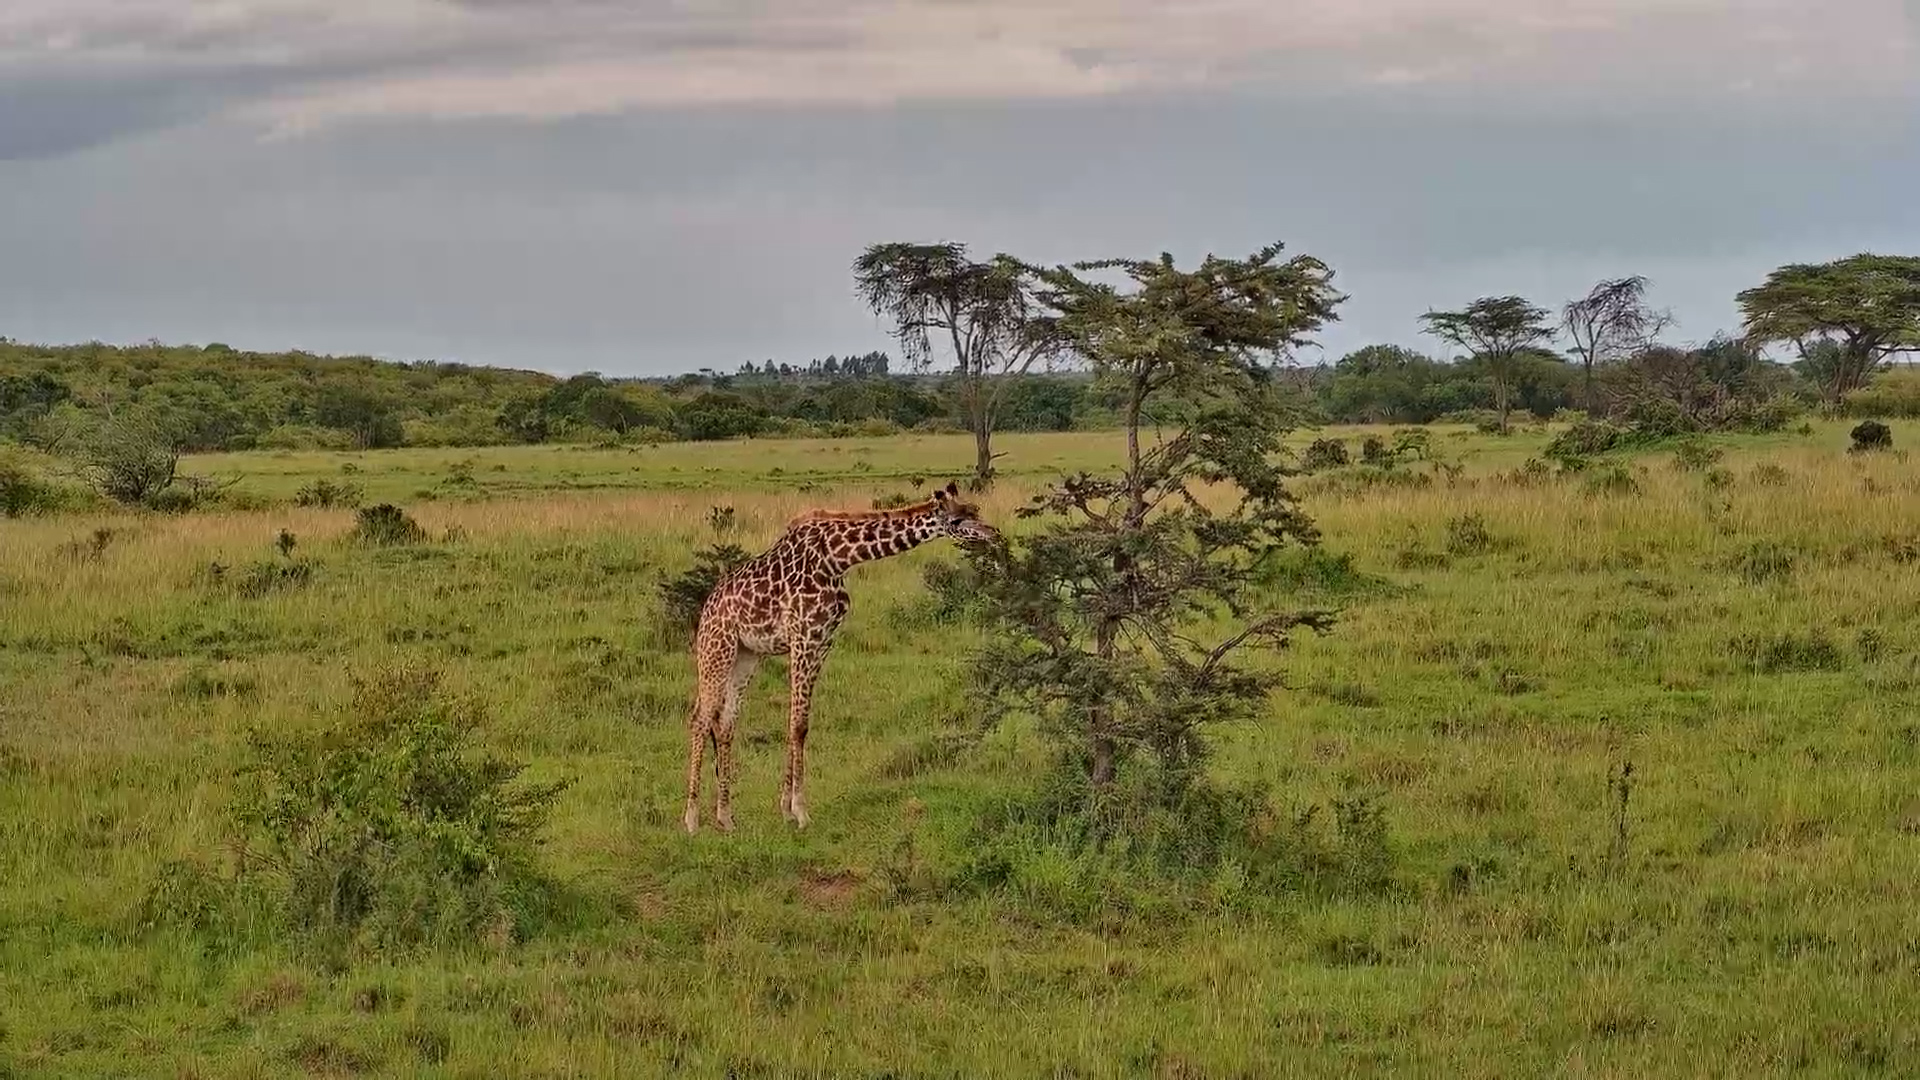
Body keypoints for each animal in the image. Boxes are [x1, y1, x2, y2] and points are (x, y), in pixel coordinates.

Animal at [681, 482, 1000, 834]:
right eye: (957, 520)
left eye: (975, 510)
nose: (995, 535)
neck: (839, 558)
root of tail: (706, 610)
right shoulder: (804, 636)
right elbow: (798, 724)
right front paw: (800, 811)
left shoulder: (823, 641)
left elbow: (797, 722)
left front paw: (786, 809)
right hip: (716, 649)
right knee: (700, 718)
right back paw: (692, 819)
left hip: (747, 655)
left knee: (725, 721)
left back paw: (726, 818)